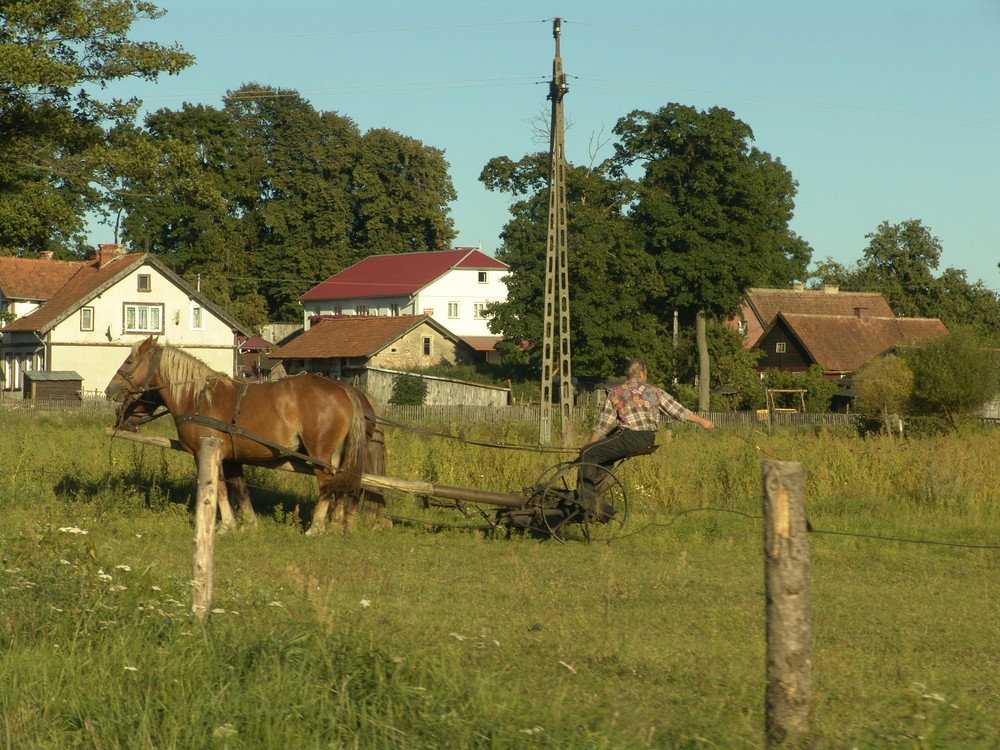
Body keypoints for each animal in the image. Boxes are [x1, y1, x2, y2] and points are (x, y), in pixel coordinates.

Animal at [106, 338, 386, 536]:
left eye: (129, 362)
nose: (111, 391)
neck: (199, 398)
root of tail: (346, 391)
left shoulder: (208, 454)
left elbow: (218, 488)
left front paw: (224, 526)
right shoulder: (232, 458)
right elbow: (239, 489)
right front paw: (247, 524)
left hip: (320, 454)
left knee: (328, 485)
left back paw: (316, 528)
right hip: (339, 454)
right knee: (342, 484)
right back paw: (338, 525)